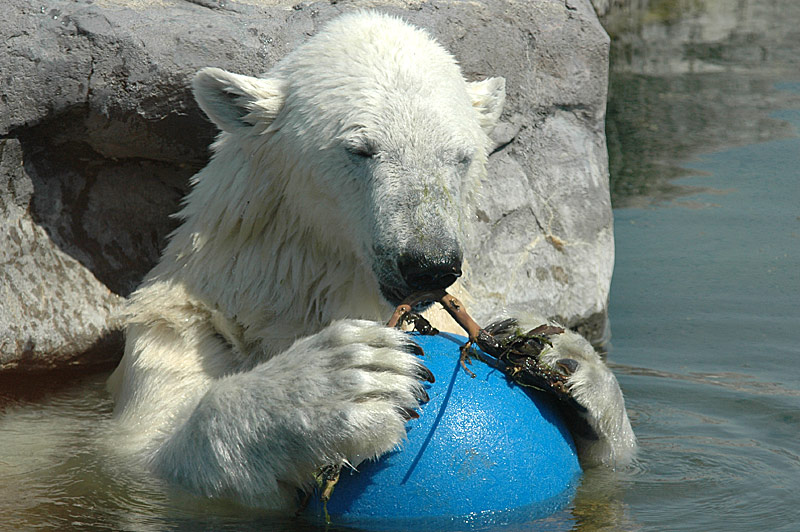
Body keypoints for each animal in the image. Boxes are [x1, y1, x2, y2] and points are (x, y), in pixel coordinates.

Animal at [106, 10, 636, 510]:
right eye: (360, 149)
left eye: (460, 155)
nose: (429, 264)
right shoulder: (184, 331)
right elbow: (143, 454)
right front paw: (343, 382)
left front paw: (560, 356)